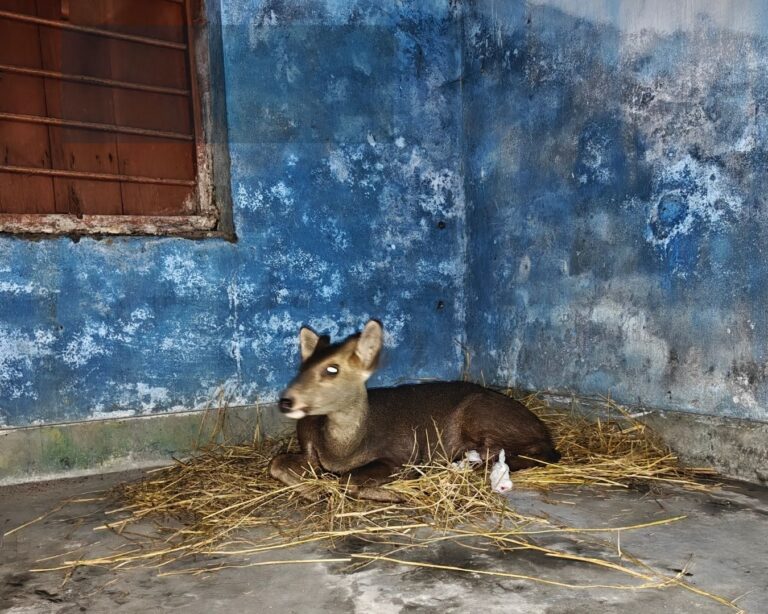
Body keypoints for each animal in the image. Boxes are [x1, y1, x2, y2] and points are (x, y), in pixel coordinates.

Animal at [268, 320, 560, 501]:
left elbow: (349, 481)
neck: (343, 450)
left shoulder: (401, 453)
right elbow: (276, 464)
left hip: (480, 414)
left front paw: (397, 495)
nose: (286, 401)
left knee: (541, 452)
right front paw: (315, 491)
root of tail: (542, 426)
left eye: (332, 369)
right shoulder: (308, 448)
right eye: (302, 367)